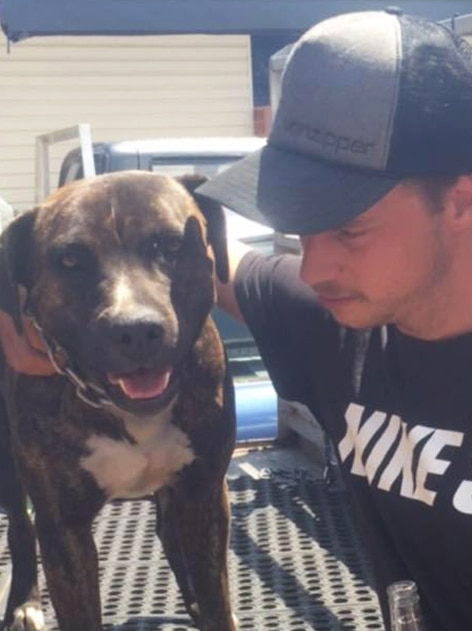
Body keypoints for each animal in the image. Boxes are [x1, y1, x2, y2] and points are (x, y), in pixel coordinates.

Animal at [0, 172, 236, 631]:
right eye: (70, 260)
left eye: (170, 245)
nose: (136, 329)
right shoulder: (64, 529)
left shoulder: (204, 492)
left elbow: (217, 598)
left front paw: (207, 604)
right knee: (19, 525)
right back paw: (23, 601)